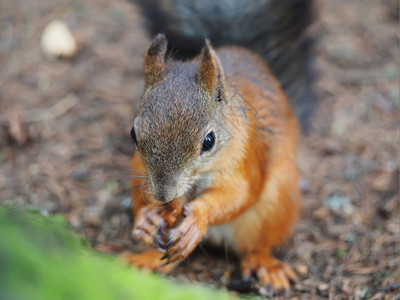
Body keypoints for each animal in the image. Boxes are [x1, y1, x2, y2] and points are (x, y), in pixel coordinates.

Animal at [123, 0, 314, 292]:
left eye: (209, 141)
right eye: (134, 133)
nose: (164, 196)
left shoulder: (247, 157)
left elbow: (239, 194)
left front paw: (197, 217)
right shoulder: (142, 172)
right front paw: (147, 218)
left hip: (276, 203)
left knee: (255, 247)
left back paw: (265, 266)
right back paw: (144, 260)